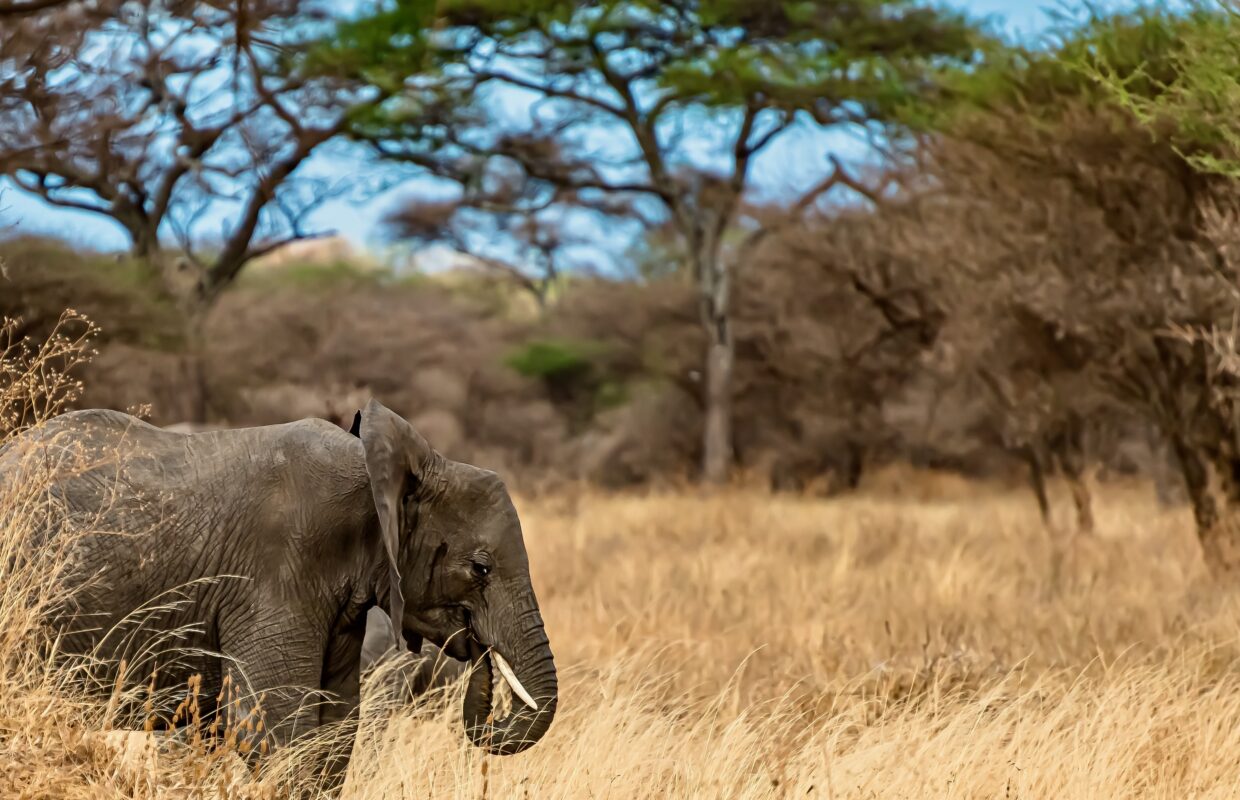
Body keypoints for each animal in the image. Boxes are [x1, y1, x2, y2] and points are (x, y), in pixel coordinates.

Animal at [0, 399, 557, 762]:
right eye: (480, 568)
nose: (479, 649)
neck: (377, 470)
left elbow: (334, 733)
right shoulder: (277, 571)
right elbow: (275, 730)